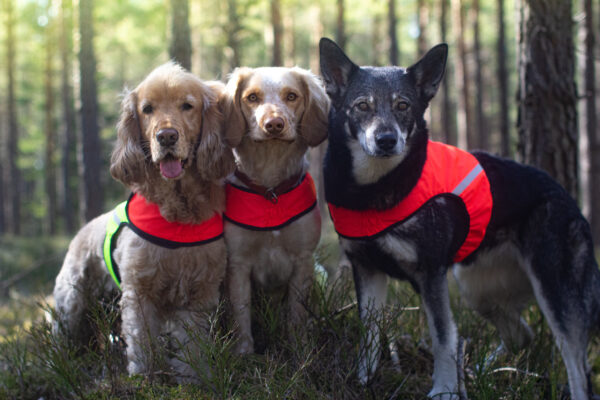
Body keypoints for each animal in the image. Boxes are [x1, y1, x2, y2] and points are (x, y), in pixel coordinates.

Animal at [322, 38, 596, 400]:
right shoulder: (367, 268)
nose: (386, 140)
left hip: (555, 295)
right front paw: (363, 381)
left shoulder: (431, 273)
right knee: (522, 335)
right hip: (476, 288)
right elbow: (368, 334)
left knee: (578, 371)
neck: (374, 190)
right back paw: (480, 371)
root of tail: (566, 196)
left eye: (403, 105)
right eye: (362, 106)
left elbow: (443, 336)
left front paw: (444, 390)